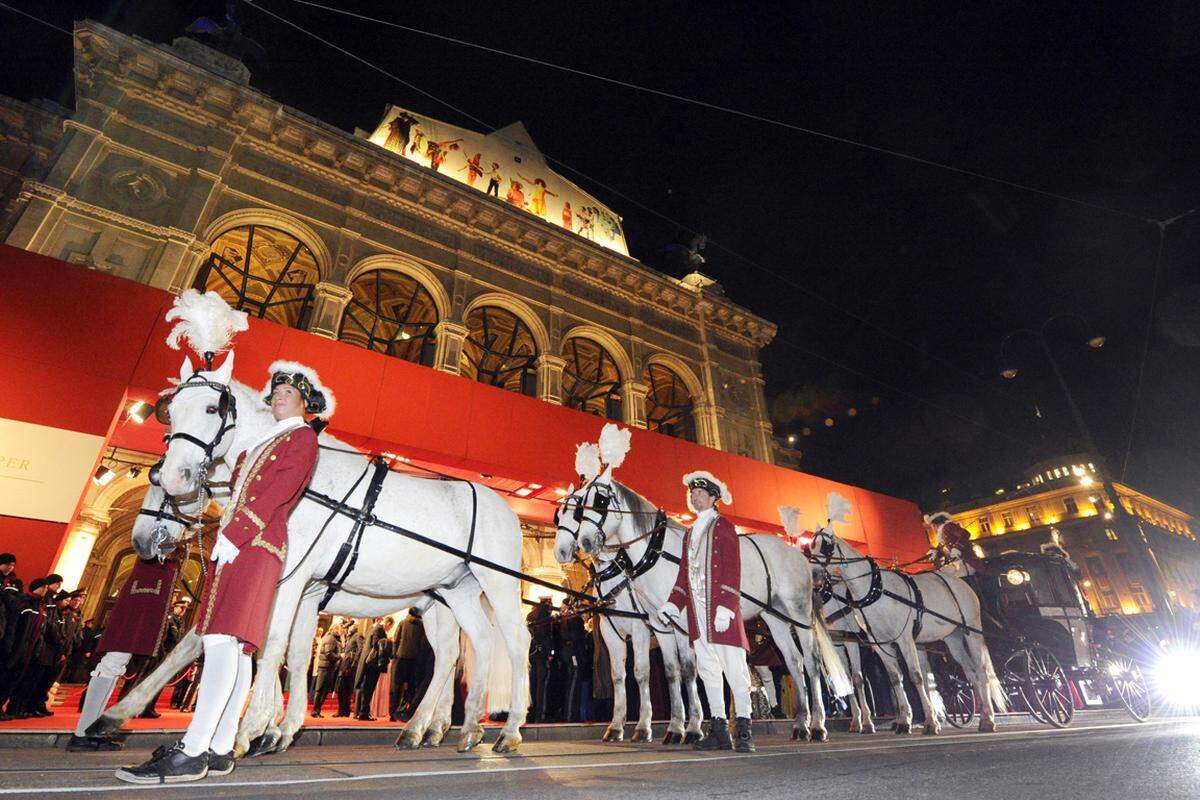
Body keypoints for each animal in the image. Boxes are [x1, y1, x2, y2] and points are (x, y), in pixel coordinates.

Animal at [146, 352, 530, 753]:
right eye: (172, 410)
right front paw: (278, 729)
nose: (173, 476)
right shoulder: (304, 590)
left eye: (211, 408)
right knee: (469, 646)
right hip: (456, 592)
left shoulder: (289, 577)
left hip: (498, 582)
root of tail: (504, 508)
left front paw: (249, 730)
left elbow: (270, 645)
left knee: (516, 642)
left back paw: (509, 729)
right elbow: (294, 652)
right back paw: (453, 727)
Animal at [554, 474, 849, 743]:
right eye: (562, 515)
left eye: (599, 501)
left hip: (799, 616)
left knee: (811, 663)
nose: (575, 546)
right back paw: (800, 724)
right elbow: (657, 672)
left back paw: (818, 725)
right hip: (774, 618)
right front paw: (659, 727)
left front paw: (687, 727)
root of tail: (799, 556)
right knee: (793, 661)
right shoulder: (650, 625)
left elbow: (676, 670)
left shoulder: (662, 626)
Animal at [806, 503, 1003, 734]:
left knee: (980, 670)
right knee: (969, 672)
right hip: (952, 638)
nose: (813, 574)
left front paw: (928, 722)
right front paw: (902, 720)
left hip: (971, 631)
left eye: (826, 545)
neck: (875, 590)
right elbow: (893, 678)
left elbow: (913, 676)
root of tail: (960, 582)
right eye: (810, 546)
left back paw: (987, 719)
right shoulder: (875, 643)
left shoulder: (900, 639)